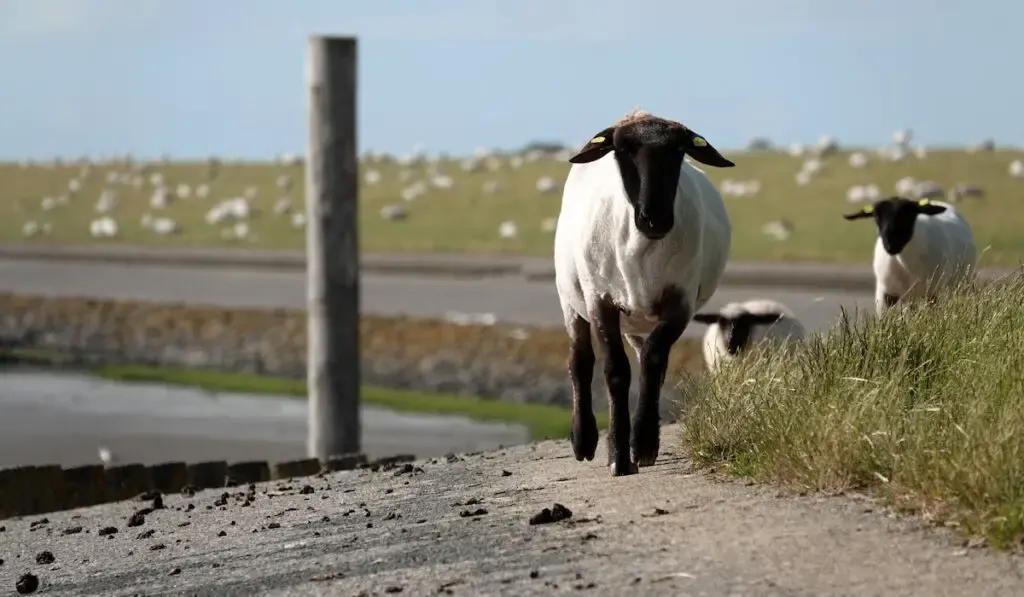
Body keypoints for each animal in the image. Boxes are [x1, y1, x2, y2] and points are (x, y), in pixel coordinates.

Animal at [552, 107, 737, 477]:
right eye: (622, 149)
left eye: (679, 150)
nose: (654, 219)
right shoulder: (599, 300)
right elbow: (615, 371)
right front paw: (619, 457)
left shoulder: (680, 301)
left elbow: (652, 361)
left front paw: (644, 445)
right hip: (570, 299)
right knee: (580, 361)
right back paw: (584, 442)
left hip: (640, 317)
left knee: (648, 358)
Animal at [843, 197, 978, 317]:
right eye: (876, 217)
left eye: (909, 215)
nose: (890, 244)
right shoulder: (885, 294)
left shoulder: (933, 292)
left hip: (959, 283)